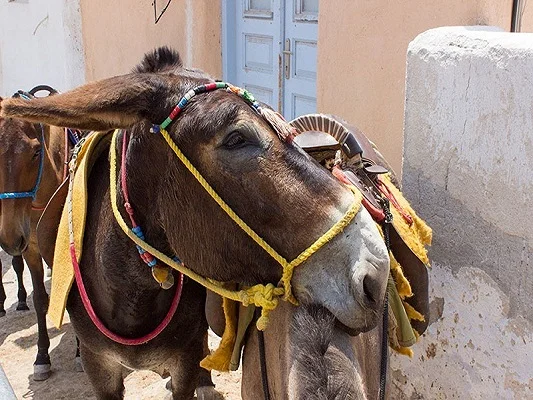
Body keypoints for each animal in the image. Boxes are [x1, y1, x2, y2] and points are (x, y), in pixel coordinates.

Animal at [0, 87, 80, 380]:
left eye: (36, 152)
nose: (10, 238)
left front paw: (80, 352)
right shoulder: (31, 249)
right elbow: (39, 299)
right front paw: (42, 356)